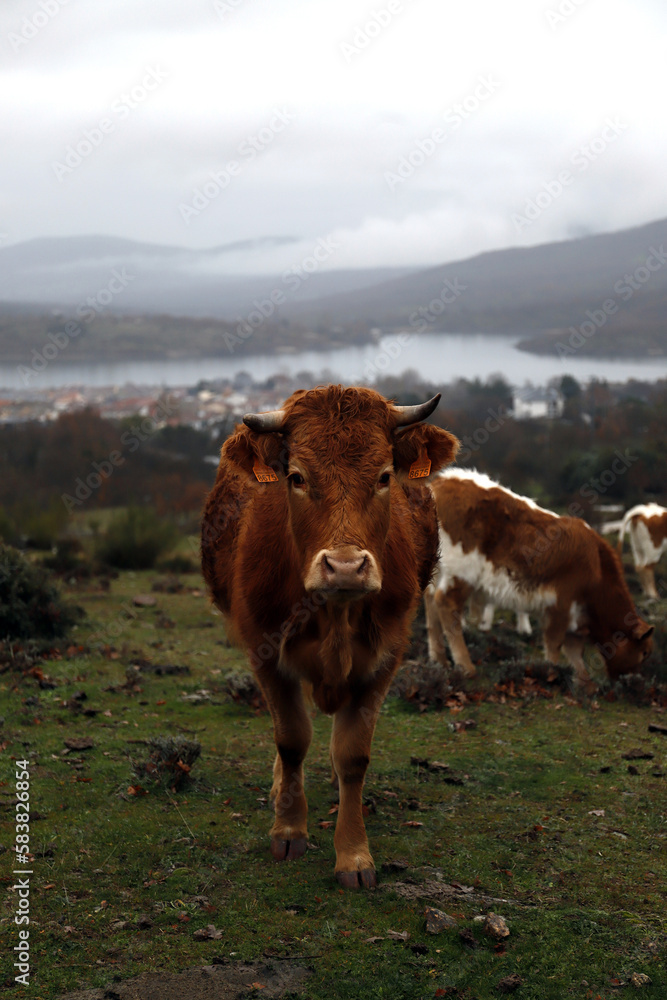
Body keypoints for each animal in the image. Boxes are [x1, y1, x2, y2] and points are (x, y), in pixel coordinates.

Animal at [200, 386, 460, 888]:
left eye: (384, 476)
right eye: (297, 477)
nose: (344, 567)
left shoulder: (385, 658)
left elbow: (352, 756)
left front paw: (354, 856)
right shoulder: (264, 652)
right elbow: (291, 739)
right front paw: (288, 830)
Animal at [426, 468, 656, 688]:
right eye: (644, 653)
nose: (634, 679)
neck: (597, 566)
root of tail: (442, 482)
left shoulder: (575, 618)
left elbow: (575, 653)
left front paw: (584, 684)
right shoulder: (560, 606)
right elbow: (555, 646)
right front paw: (551, 673)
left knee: (431, 605)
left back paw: (439, 661)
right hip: (462, 572)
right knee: (446, 604)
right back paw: (466, 666)